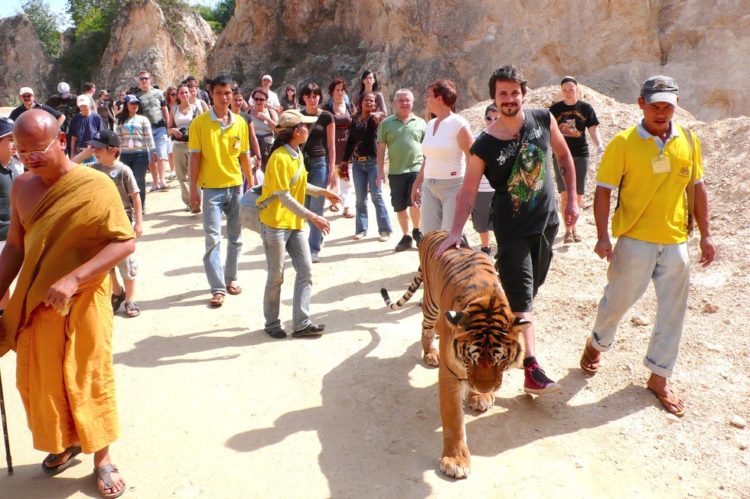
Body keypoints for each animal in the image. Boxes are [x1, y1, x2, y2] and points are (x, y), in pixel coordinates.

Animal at [382, 230, 528, 480]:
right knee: (426, 327)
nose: (484, 388)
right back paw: (430, 354)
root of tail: (434, 232)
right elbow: (453, 421)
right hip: (431, 303)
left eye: (501, 360)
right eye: (470, 359)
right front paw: (455, 461)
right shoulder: (450, 374)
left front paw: (479, 397)